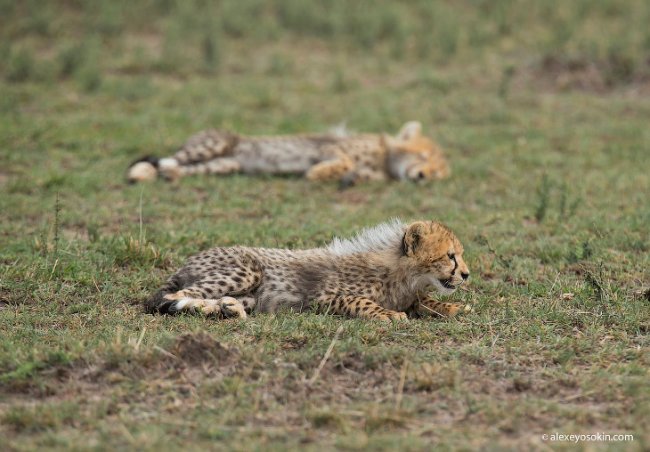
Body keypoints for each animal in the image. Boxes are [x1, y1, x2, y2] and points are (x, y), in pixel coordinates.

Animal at [146, 220, 470, 322]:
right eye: (450, 256)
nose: (466, 274)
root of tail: (189, 260)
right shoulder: (322, 298)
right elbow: (361, 301)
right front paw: (388, 314)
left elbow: (425, 302)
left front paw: (455, 307)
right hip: (247, 269)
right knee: (171, 297)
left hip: (253, 294)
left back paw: (230, 308)